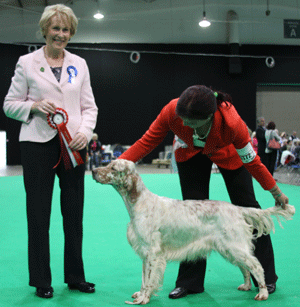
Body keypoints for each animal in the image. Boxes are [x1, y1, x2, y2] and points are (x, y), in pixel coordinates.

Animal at [92, 160, 296, 304]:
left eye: (113, 167)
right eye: (108, 163)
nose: (93, 170)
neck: (139, 203)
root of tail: (238, 209)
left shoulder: (152, 253)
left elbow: (149, 279)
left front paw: (144, 299)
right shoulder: (144, 253)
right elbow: (143, 278)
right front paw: (140, 294)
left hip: (235, 246)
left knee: (256, 266)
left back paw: (263, 292)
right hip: (230, 249)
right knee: (245, 268)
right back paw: (246, 286)